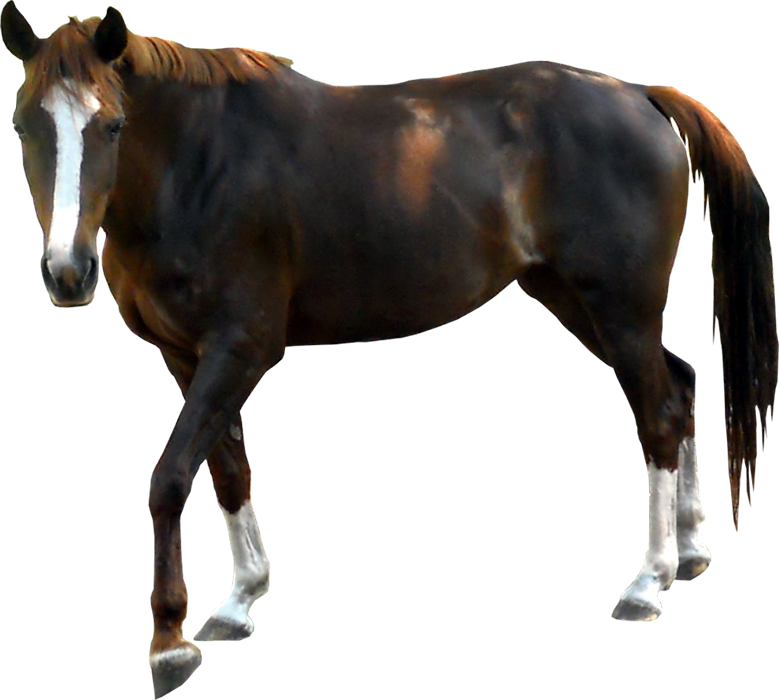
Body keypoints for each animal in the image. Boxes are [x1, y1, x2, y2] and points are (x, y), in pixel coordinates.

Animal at [2, 2, 776, 697]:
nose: (67, 274)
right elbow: (226, 470)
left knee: (657, 418)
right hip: (573, 301)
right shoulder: (184, 355)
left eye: (111, 124)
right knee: (680, 387)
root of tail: (641, 94)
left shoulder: (240, 349)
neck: (198, 166)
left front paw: (169, 646)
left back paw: (648, 582)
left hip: (619, 311)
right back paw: (692, 553)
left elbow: (169, 478)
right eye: (23, 124)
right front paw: (240, 600)